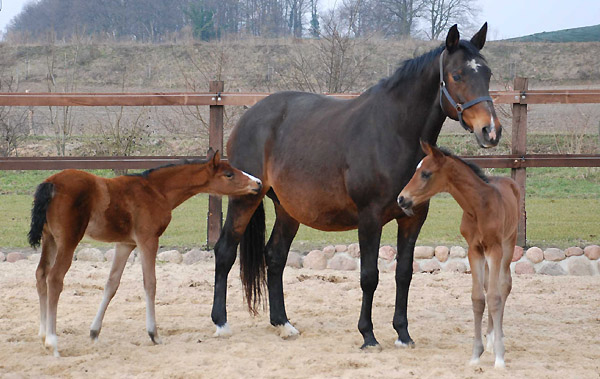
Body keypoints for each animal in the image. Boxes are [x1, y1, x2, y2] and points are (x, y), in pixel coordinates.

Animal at [28, 150, 260, 358]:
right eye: (229, 174)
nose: (257, 183)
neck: (156, 190)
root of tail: (51, 183)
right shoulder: (148, 240)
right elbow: (150, 283)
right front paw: (154, 334)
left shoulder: (125, 244)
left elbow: (111, 284)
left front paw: (94, 332)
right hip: (68, 240)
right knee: (54, 278)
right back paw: (52, 342)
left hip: (50, 239)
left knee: (41, 274)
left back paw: (42, 335)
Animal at [211, 23, 502, 350]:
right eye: (457, 75)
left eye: (487, 74)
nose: (491, 131)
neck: (392, 132)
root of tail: (247, 117)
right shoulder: (369, 217)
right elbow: (369, 276)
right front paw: (368, 335)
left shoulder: (413, 218)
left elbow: (404, 274)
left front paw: (402, 333)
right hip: (245, 200)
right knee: (225, 251)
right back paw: (221, 323)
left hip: (287, 209)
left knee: (274, 257)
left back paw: (283, 323)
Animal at [396, 141, 516, 370]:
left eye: (425, 173)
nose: (401, 199)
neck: (478, 207)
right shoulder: (474, 249)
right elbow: (478, 298)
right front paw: (476, 354)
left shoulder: (495, 248)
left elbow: (494, 297)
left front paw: (500, 358)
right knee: (489, 285)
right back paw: (490, 339)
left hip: (509, 244)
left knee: (504, 286)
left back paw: (497, 339)